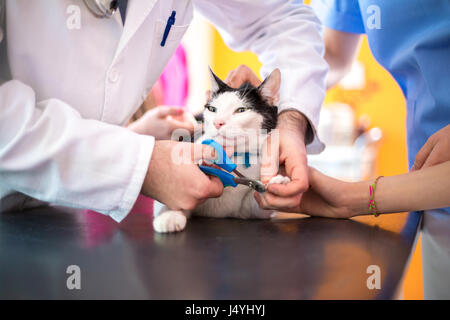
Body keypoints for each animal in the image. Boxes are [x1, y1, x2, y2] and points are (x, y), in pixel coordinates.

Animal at [153, 68, 290, 232]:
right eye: (212, 109)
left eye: (241, 110)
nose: (218, 122)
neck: (236, 156)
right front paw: (169, 215)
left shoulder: (249, 211)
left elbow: (259, 203)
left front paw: (276, 184)